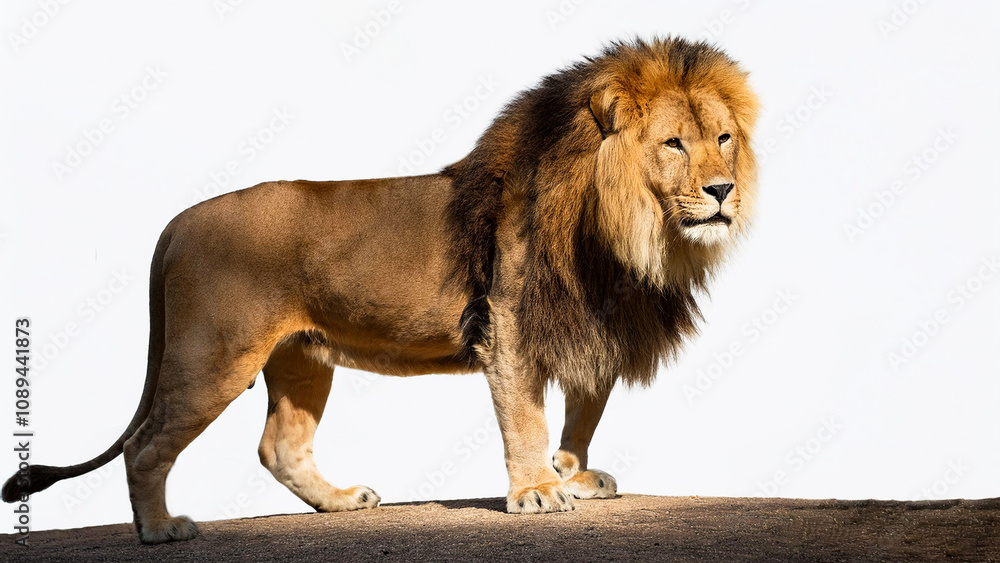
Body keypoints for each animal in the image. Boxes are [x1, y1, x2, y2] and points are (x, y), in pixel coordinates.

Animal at [2, 37, 758, 544]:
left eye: (724, 138)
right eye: (674, 144)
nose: (724, 191)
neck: (625, 231)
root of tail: (176, 221)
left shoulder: (591, 328)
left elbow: (582, 415)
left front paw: (573, 475)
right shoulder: (511, 325)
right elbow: (528, 419)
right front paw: (539, 492)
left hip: (301, 358)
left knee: (279, 446)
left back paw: (340, 502)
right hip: (212, 354)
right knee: (147, 445)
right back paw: (160, 528)